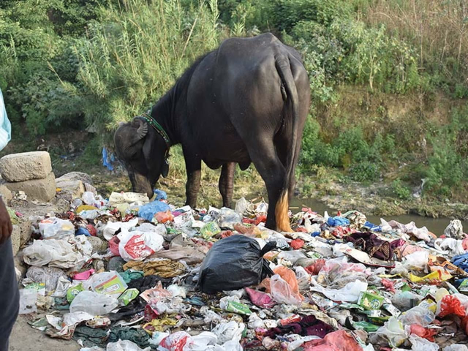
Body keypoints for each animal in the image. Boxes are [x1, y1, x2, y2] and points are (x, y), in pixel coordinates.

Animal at [113, 32, 310, 231]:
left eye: (135, 155)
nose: (139, 191)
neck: (179, 100)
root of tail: (279, 55)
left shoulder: (190, 147)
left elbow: (192, 183)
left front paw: (189, 209)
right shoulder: (229, 153)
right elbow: (226, 185)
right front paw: (226, 211)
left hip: (257, 137)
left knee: (275, 177)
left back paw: (271, 224)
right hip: (291, 135)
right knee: (289, 178)